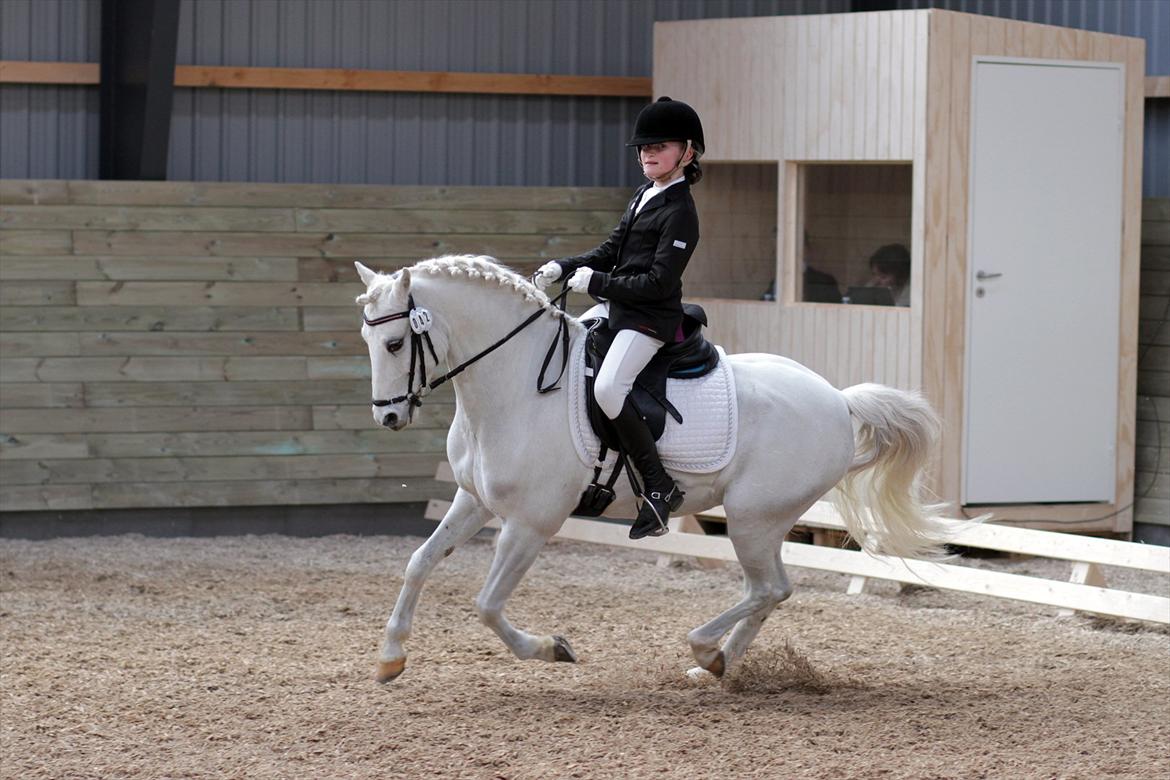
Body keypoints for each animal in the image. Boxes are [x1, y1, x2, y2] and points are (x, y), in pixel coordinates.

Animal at [355, 255, 953, 683]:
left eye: (395, 342)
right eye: (368, 341)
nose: (388, 416)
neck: (516, 384)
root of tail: (837, 400)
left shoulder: (531, 523)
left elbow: (486, 605)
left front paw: (553, 648)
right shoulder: (472, 500)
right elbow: (418, 563)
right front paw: (389, 658)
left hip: (752, 518)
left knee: (769, 589)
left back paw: (706, 652)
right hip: (763, 522)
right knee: (771, 591)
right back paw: (716, 666)